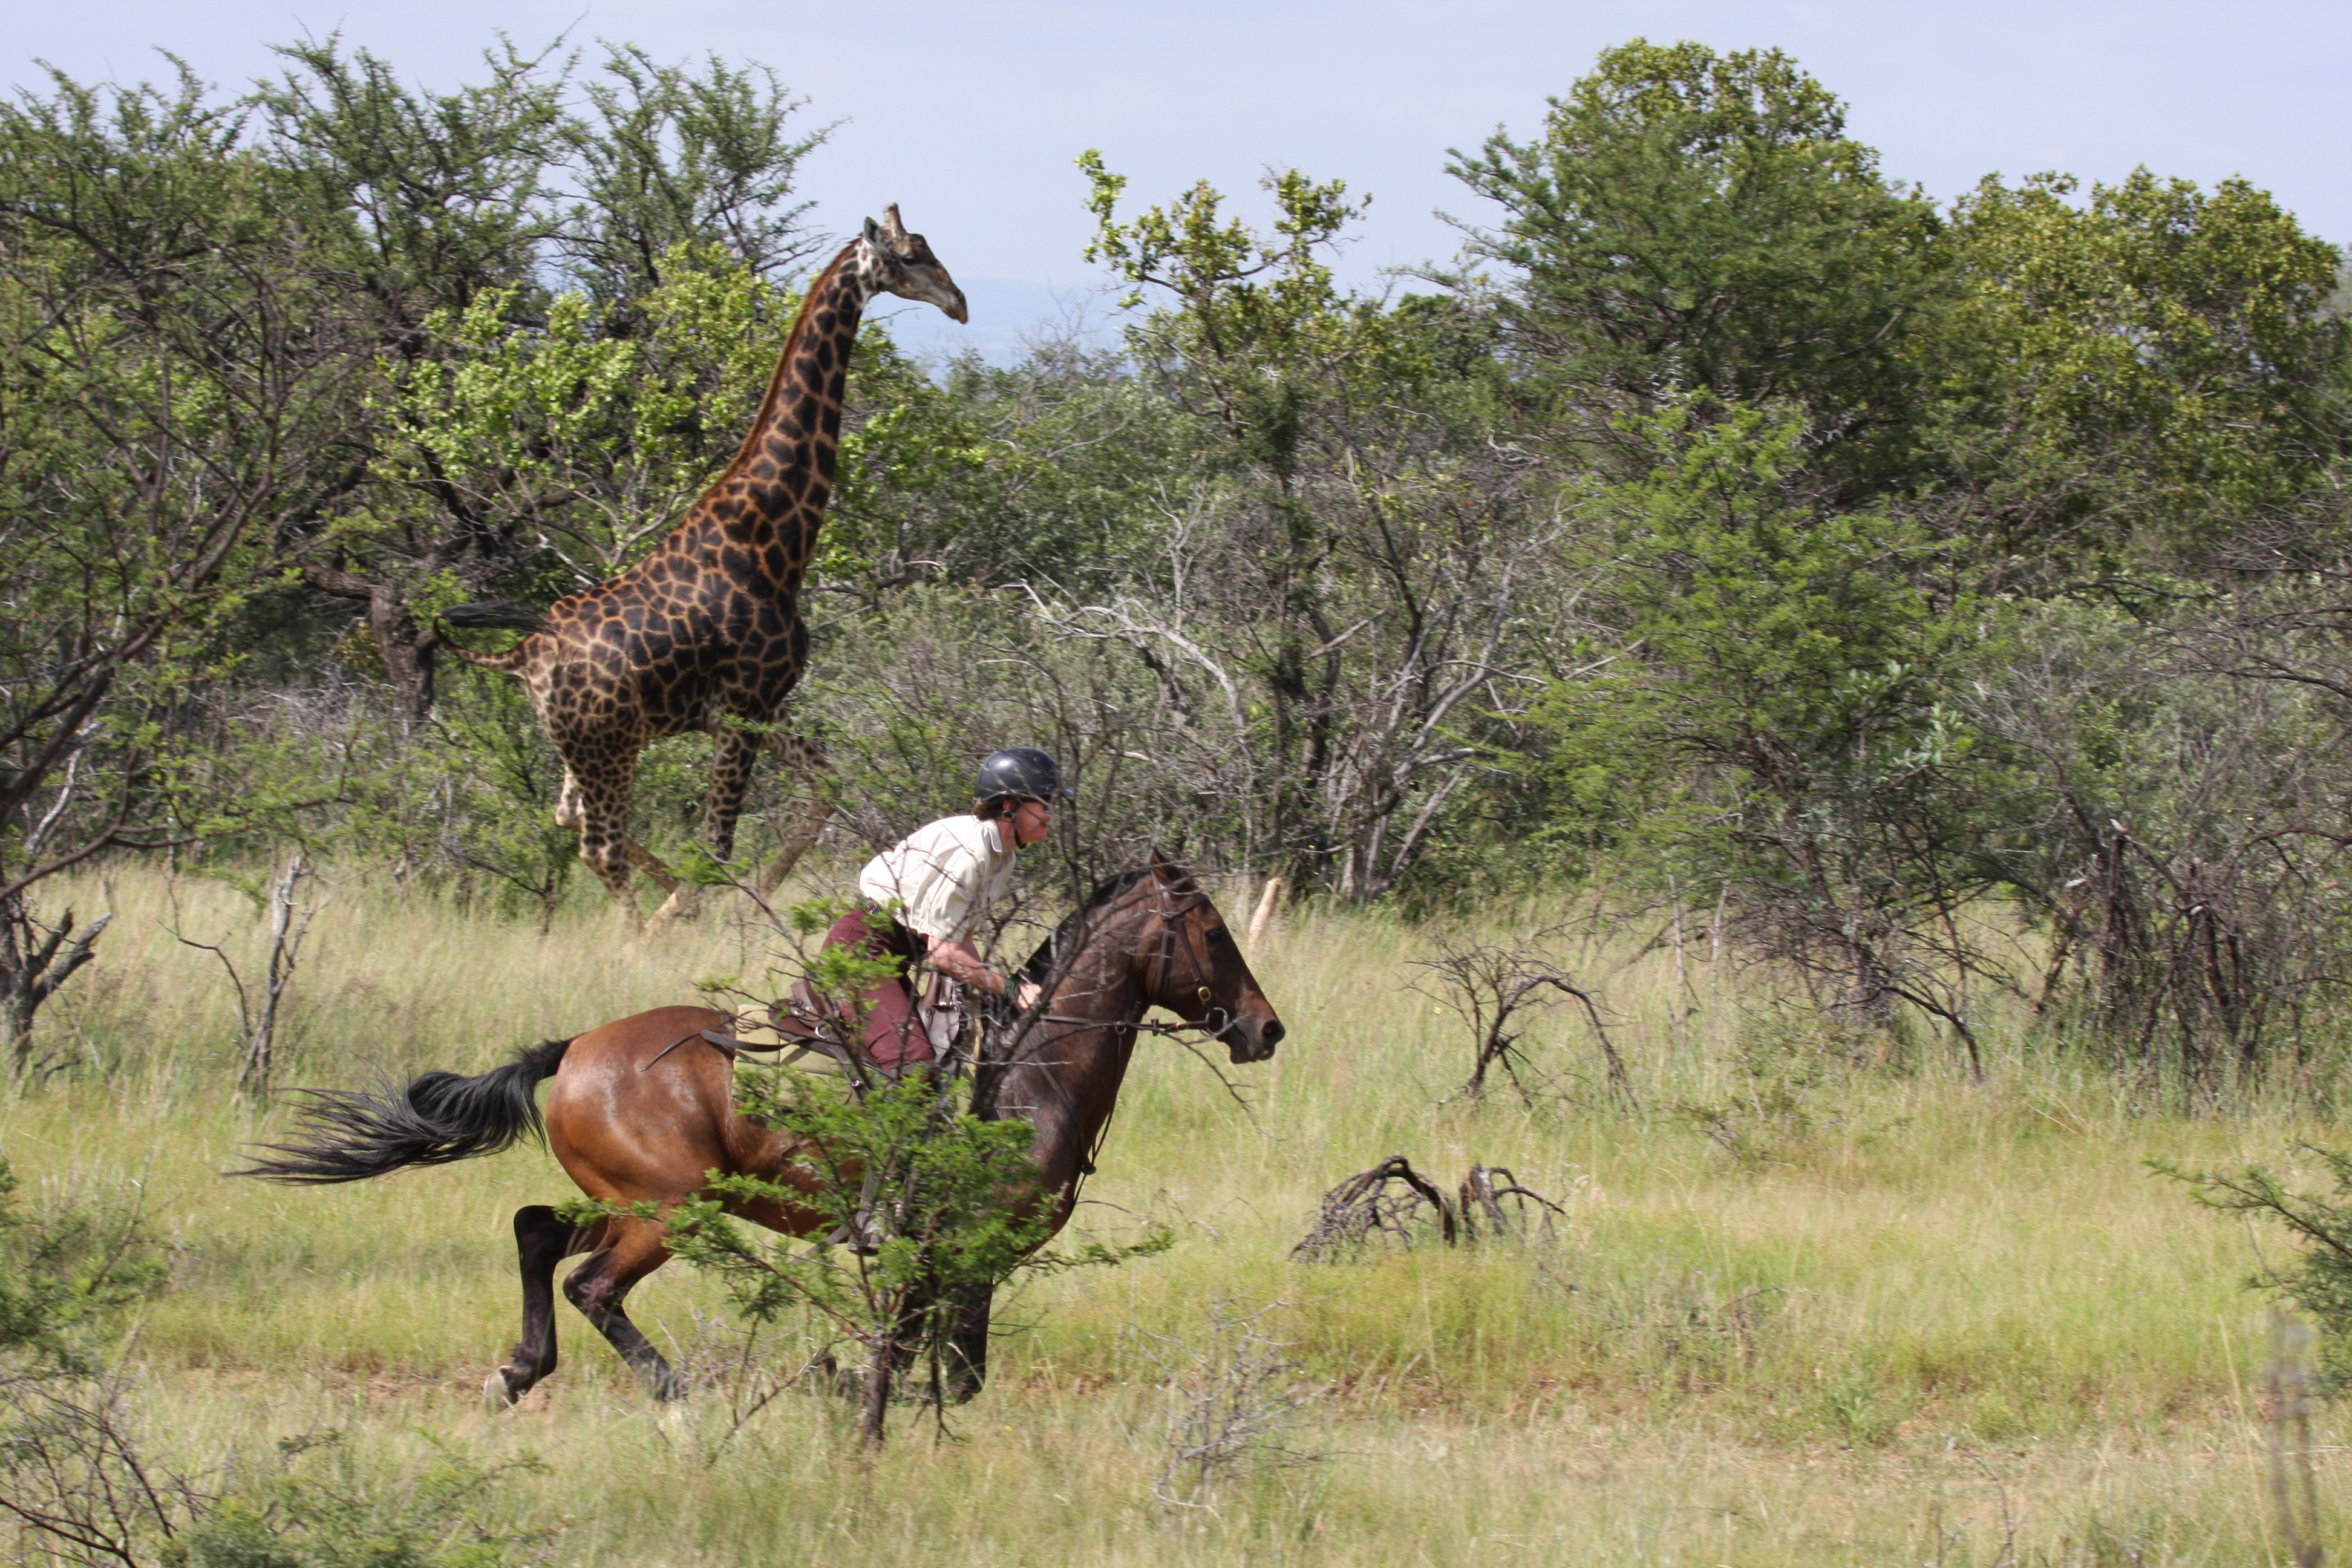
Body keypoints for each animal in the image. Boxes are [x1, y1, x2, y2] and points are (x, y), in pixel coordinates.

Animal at [238, 860, 1289, 1410]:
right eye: (1215, 935)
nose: (1266, 1028)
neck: (1030, 1077)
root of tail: (574, 1049)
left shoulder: (942, 1257)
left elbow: (933, 1361)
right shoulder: (964, 1251)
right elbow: (953, 1373)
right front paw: (860, 1396)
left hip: (637, 1198)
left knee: (535, 1231)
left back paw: (521, 1372)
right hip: (670, 1210)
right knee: (592, 1286)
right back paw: (673, 1395)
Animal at [442, 204, 964, 912]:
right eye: (910, 257)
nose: (959, 302)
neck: (771, 540)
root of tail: (522, 656)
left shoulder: (755, 708)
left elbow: (826, 785)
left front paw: (757, 896)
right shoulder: (744, 705)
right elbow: (717, 845)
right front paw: (702, 914)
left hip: (583, 747)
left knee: (570, 817)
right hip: (608, 746)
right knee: (600, 847)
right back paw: (645, 929)